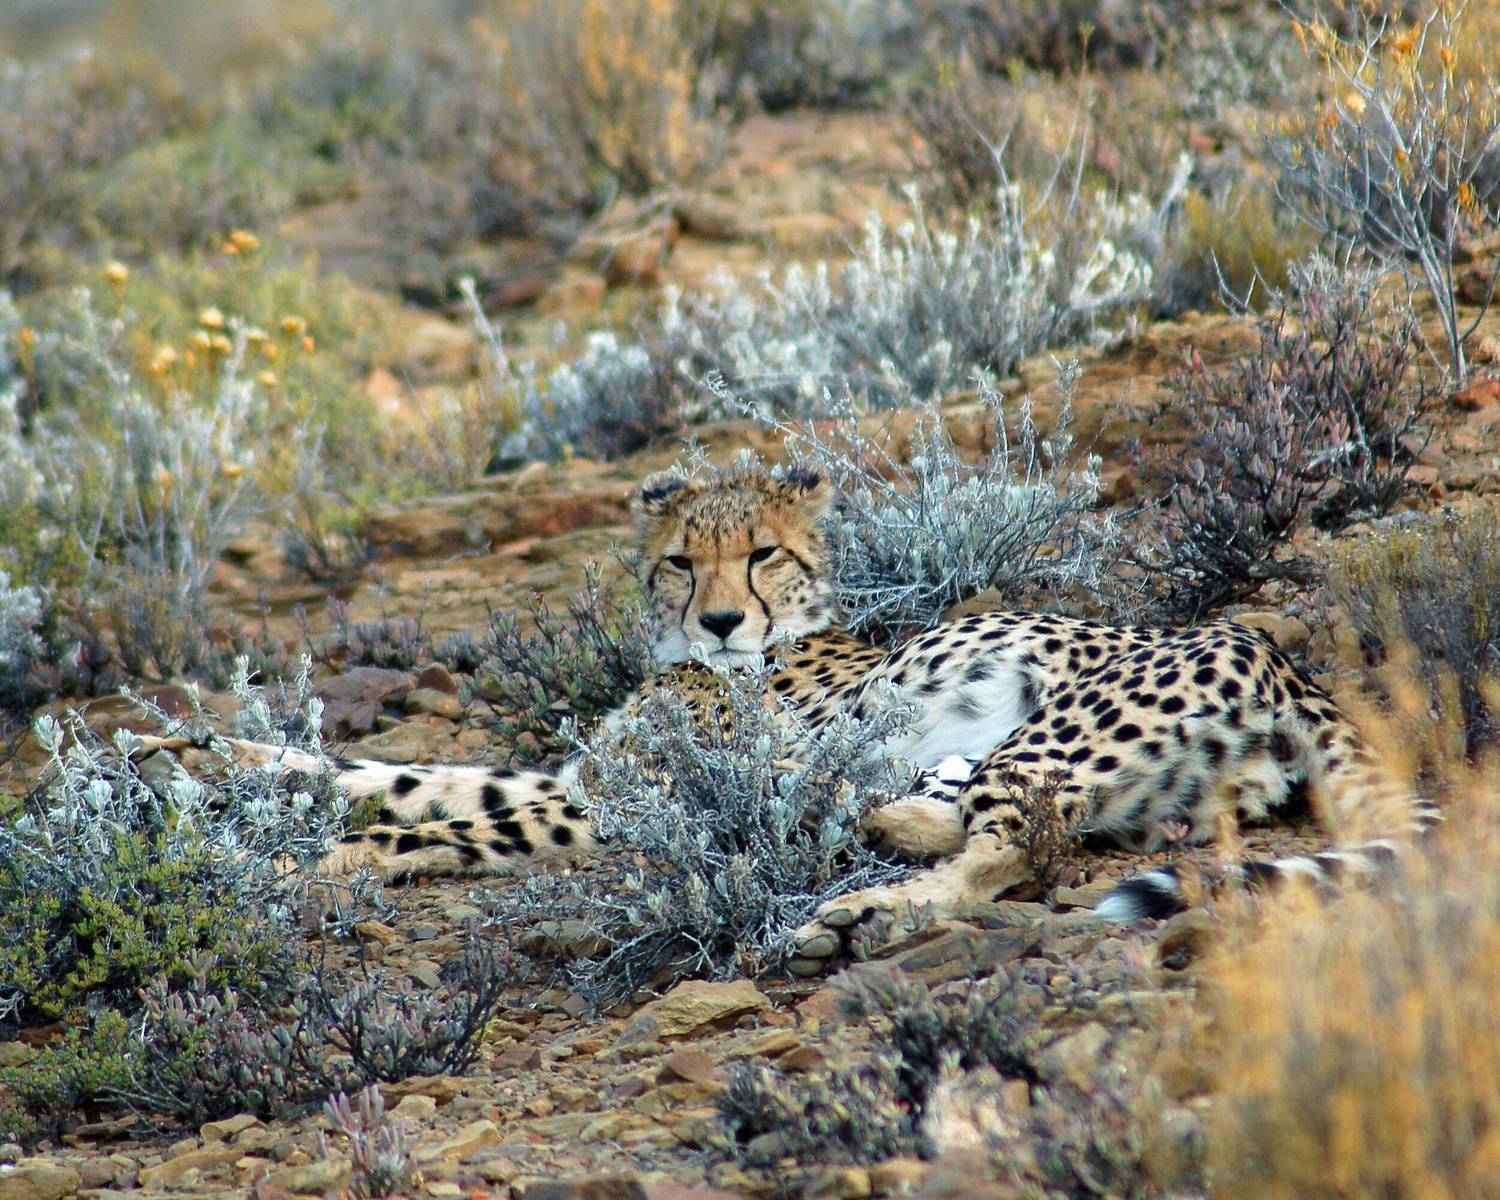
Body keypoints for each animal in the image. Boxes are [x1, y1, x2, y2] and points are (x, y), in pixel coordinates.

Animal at [136, 461, 1433, 965]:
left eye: (761, 554)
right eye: (678, 559)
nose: (720, 622)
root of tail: (1279, 653)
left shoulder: (614, 808)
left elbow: (448, 822)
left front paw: (322, 866)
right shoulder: (585, 780)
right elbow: (386, 775)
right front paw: (174, 749)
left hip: (1054, 721)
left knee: (1021, 842)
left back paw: (868, 910)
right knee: (986, 814)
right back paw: (875, 822)